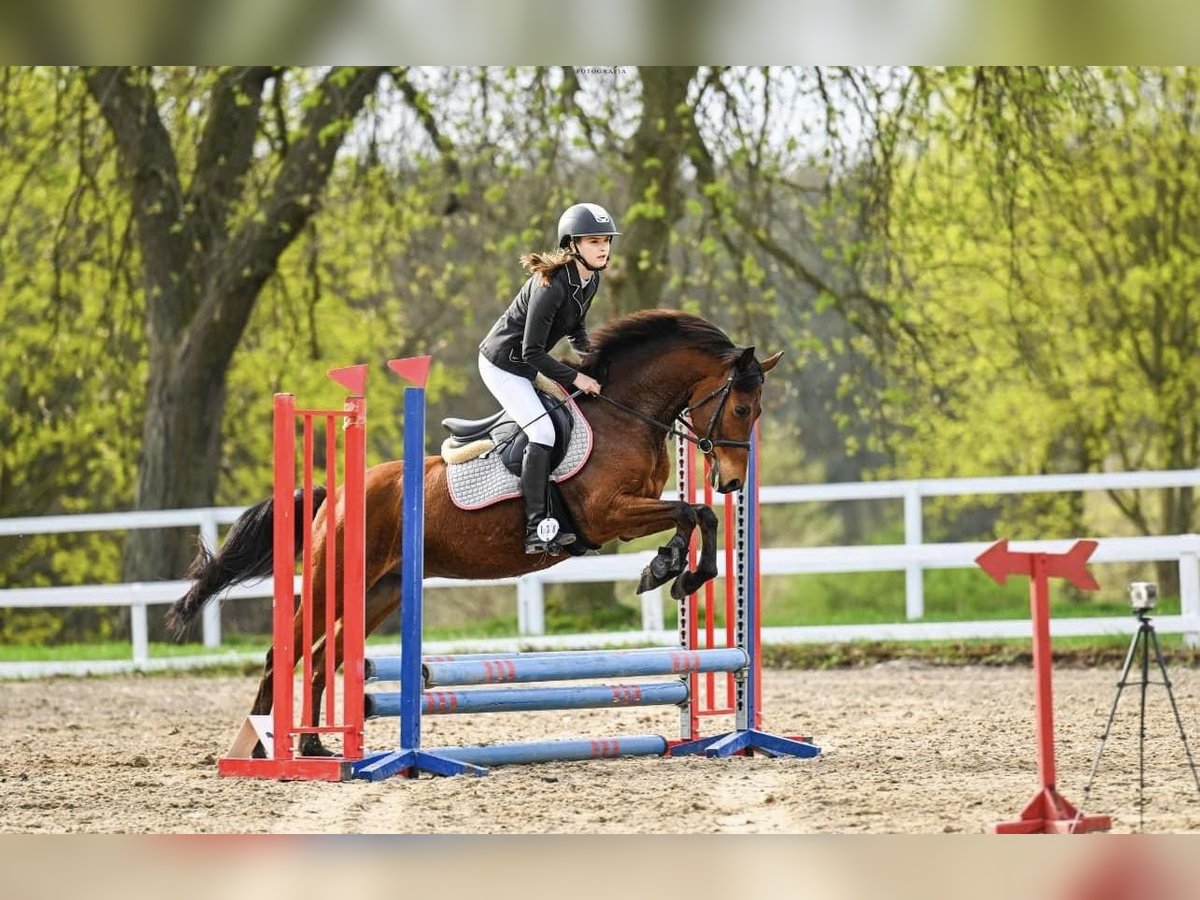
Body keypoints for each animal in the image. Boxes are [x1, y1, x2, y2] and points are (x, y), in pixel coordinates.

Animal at [171, 307, 787, 758]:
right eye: (740, 407)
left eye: (755, 413)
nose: (732, 481)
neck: (625, 413)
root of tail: (337, 494)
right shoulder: (607, 514)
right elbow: (693, 513)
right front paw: (673, 572)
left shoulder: (630, 510)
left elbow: (695, 515)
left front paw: (671, 570)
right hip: (332, 580)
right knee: (284, 653)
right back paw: (261, 751)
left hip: (379, 591)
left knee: (324, 658)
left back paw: (319, 748)